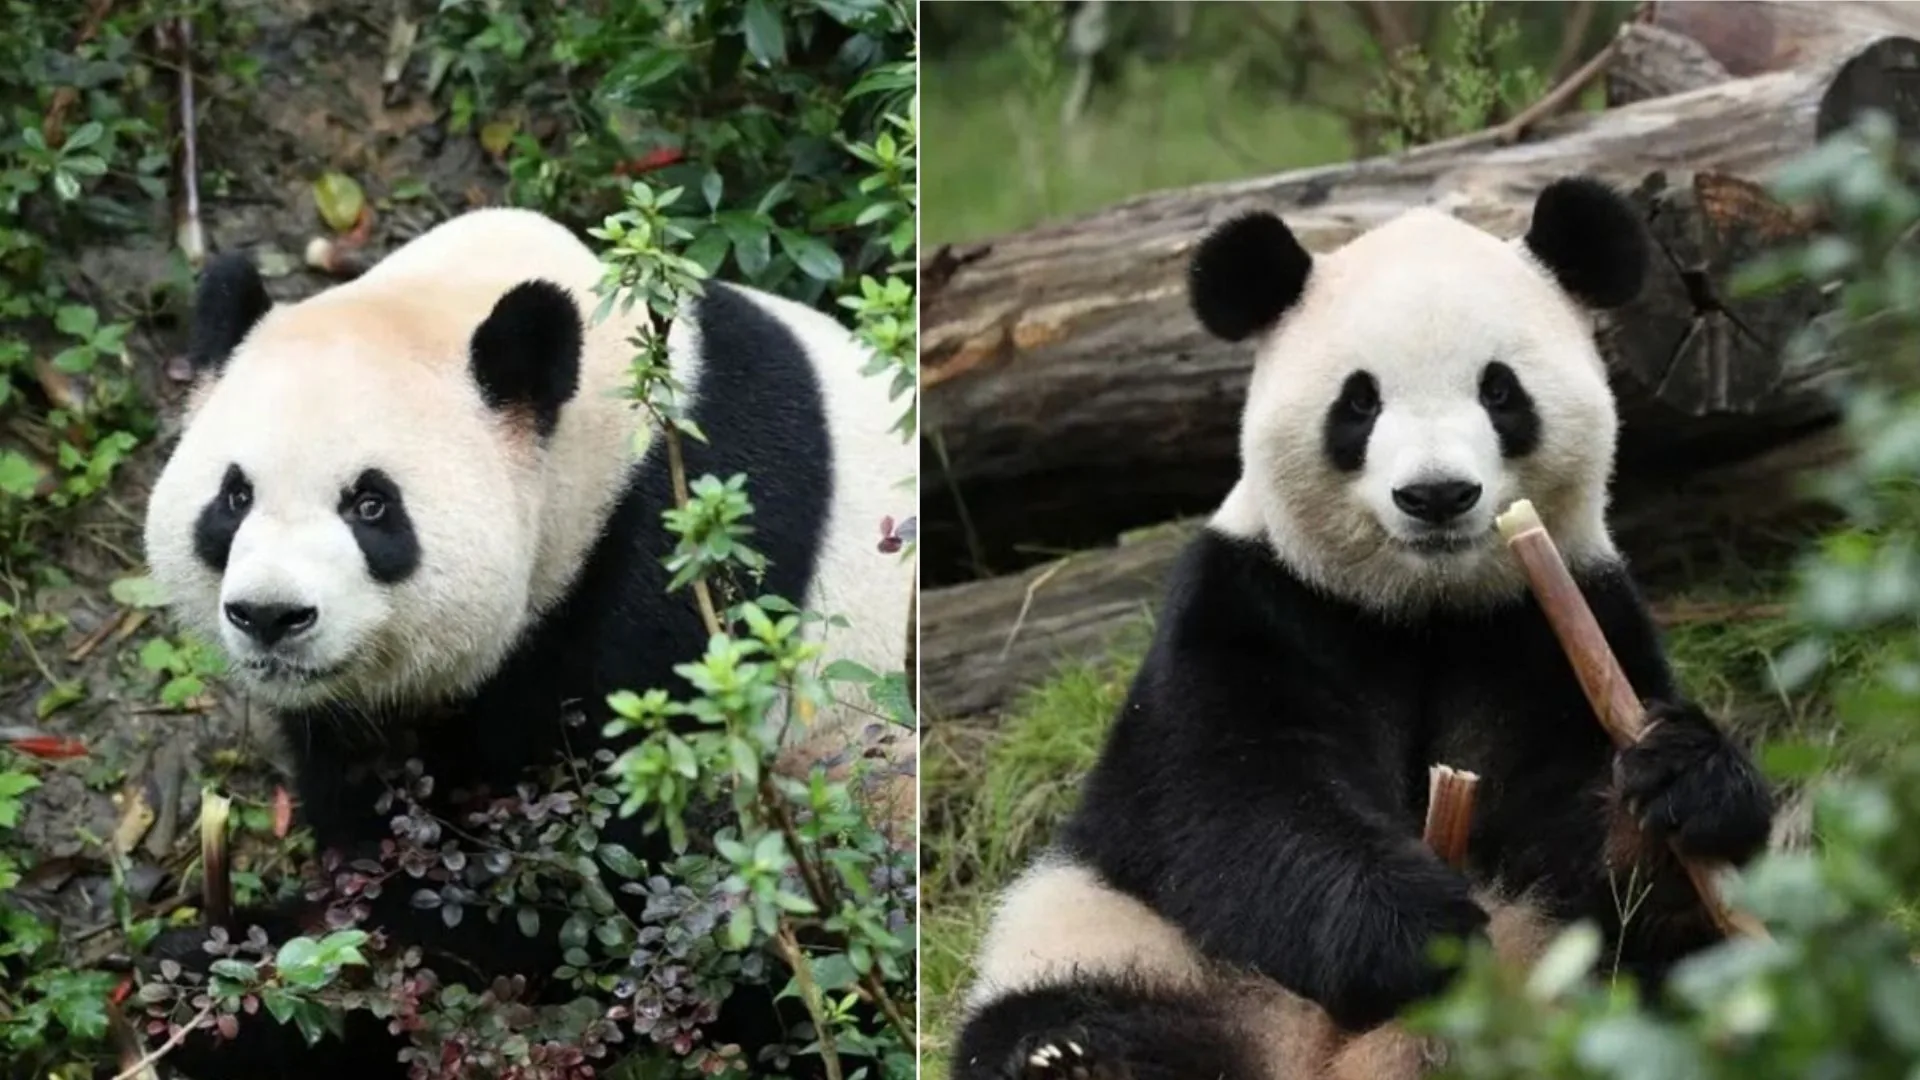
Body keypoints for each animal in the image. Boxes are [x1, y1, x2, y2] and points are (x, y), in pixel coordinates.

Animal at [135, 207, 916, 1078]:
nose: (270, 615)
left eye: (372, 506)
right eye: (234, 497)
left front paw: (248, 989)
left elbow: (588, 881)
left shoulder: (685, 570)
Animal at [948, 177, 1778, 1080]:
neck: (1422, 610)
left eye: (1500, 391)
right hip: (1109, 932)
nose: (1437, 495)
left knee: (1673, 983)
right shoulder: (1255, 603)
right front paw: (1411, 932)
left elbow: (1585, 843)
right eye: (1360, 401)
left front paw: (1681, 779)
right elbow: (1235, 795)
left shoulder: (1553, 621)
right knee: (1057, 1011)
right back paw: (1072, 1055)